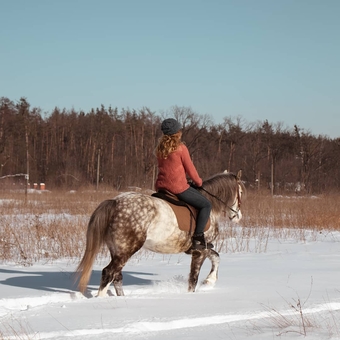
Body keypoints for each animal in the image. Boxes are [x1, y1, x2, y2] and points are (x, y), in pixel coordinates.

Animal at [75, 170, 246, 298]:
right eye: (241, 192)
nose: (238, 216)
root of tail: (115, 202)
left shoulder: (201, 248)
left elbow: (216, 256)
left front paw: (210, 281)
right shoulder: (200, 251)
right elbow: (193, 279)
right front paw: (204, 284)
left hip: (117, 251)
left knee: (117, 276)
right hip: (126, 250)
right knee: (109, 273)